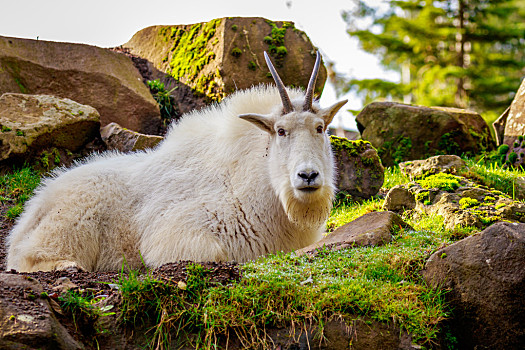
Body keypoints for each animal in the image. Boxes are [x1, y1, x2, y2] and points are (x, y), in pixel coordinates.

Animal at [6, 52, 348, 272]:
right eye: (280, 131)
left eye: (320, 128)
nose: (308, 176)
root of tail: (33, 210)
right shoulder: (177, 234)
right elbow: (214, 255)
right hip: (72, 223)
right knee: (28, 260)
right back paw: (67, 265)